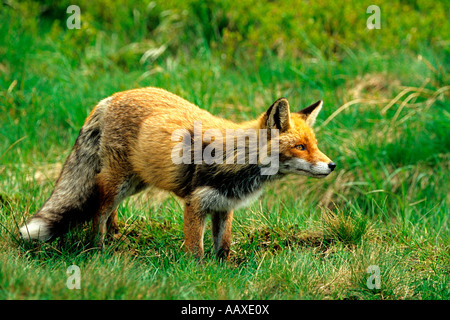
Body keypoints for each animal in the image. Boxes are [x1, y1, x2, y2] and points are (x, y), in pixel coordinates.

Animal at [19, 87, 336, 260]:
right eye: (300, 147)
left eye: (314, 145)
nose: (332, 165)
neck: (237, 159)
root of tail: (111, 97)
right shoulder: (195, 204)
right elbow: (195, 250)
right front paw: (197, 273)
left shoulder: (224, 206)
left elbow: (223, 247)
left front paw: (223, 269)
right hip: (118, 181)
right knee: (99, 212)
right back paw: (98, 251)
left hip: (135, 182)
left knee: (110, 213)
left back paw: (116, 238)